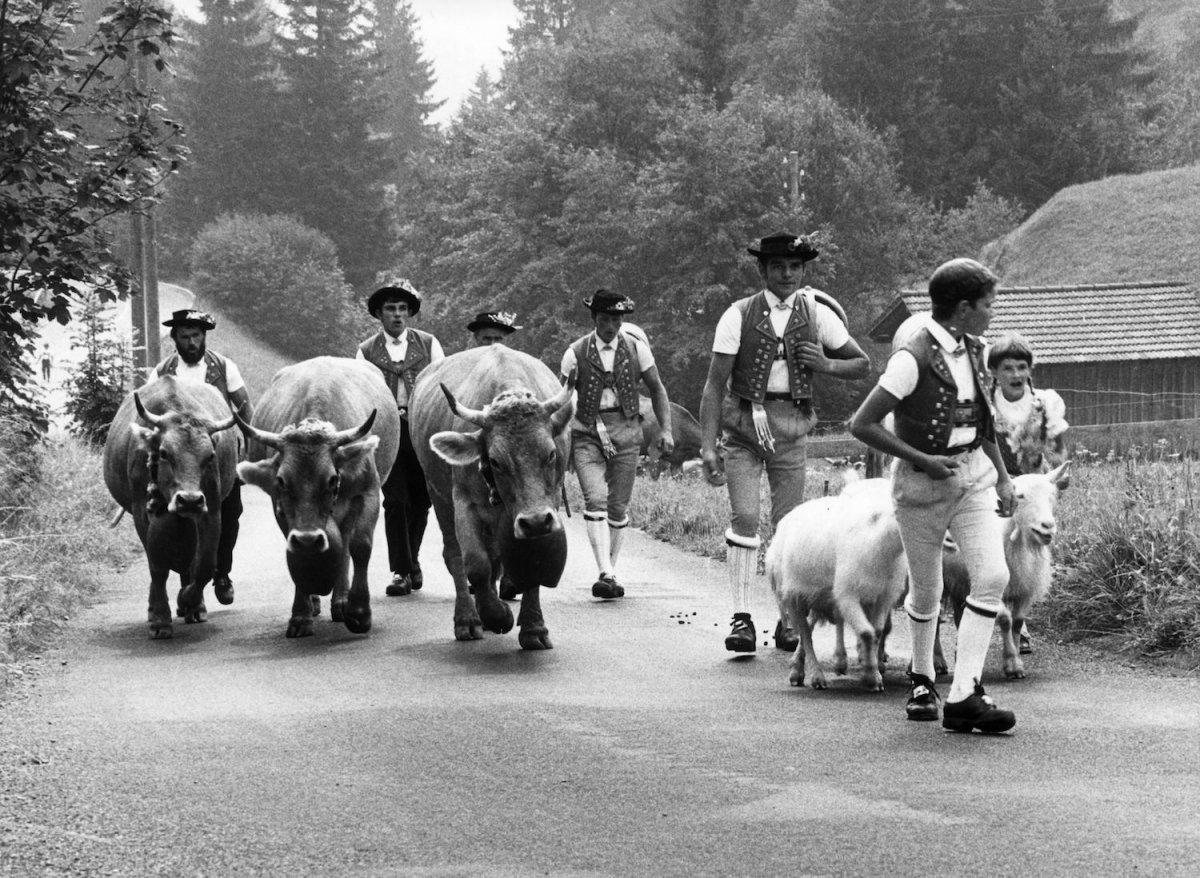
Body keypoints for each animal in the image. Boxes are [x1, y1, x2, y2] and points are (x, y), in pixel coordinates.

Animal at [105, 376, 241, 638]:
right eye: (164, 453)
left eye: (210, 456)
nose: (189, 499)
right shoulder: (141, 511)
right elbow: (157, 567)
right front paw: (159, 618)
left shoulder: (211, 509)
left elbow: (205, 564)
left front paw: (188, 600)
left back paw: (193, 607)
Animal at [236, 357, 400, 638]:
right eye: (281, 481)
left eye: (333, 479)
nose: (309, 538)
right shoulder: (281, 508)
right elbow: (296, 549)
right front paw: (300, 615)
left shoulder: (368, 492)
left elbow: (360, 546)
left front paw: (358, 612)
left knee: (346, 542)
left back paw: (341, 602)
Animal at [410, 345, 573, 647]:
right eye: (496, 461)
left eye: (551, 453)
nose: (534, 521)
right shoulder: (464, 502)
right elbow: (475, 563)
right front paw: (497, 616)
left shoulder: (549, 503)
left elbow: (532, 562)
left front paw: (534, 628)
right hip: (438, 496)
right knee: (454, 555)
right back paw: (468, 619)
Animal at [763, 477, 902, 690]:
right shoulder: (847, 594)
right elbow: (866, 632)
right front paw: (870, 674)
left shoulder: (883, 596)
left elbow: (876, 632)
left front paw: (872, 671)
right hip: (794, 596)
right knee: (806, 635)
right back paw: (815, 675)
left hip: (817, 596)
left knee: (814, 627)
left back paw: (809, 666)